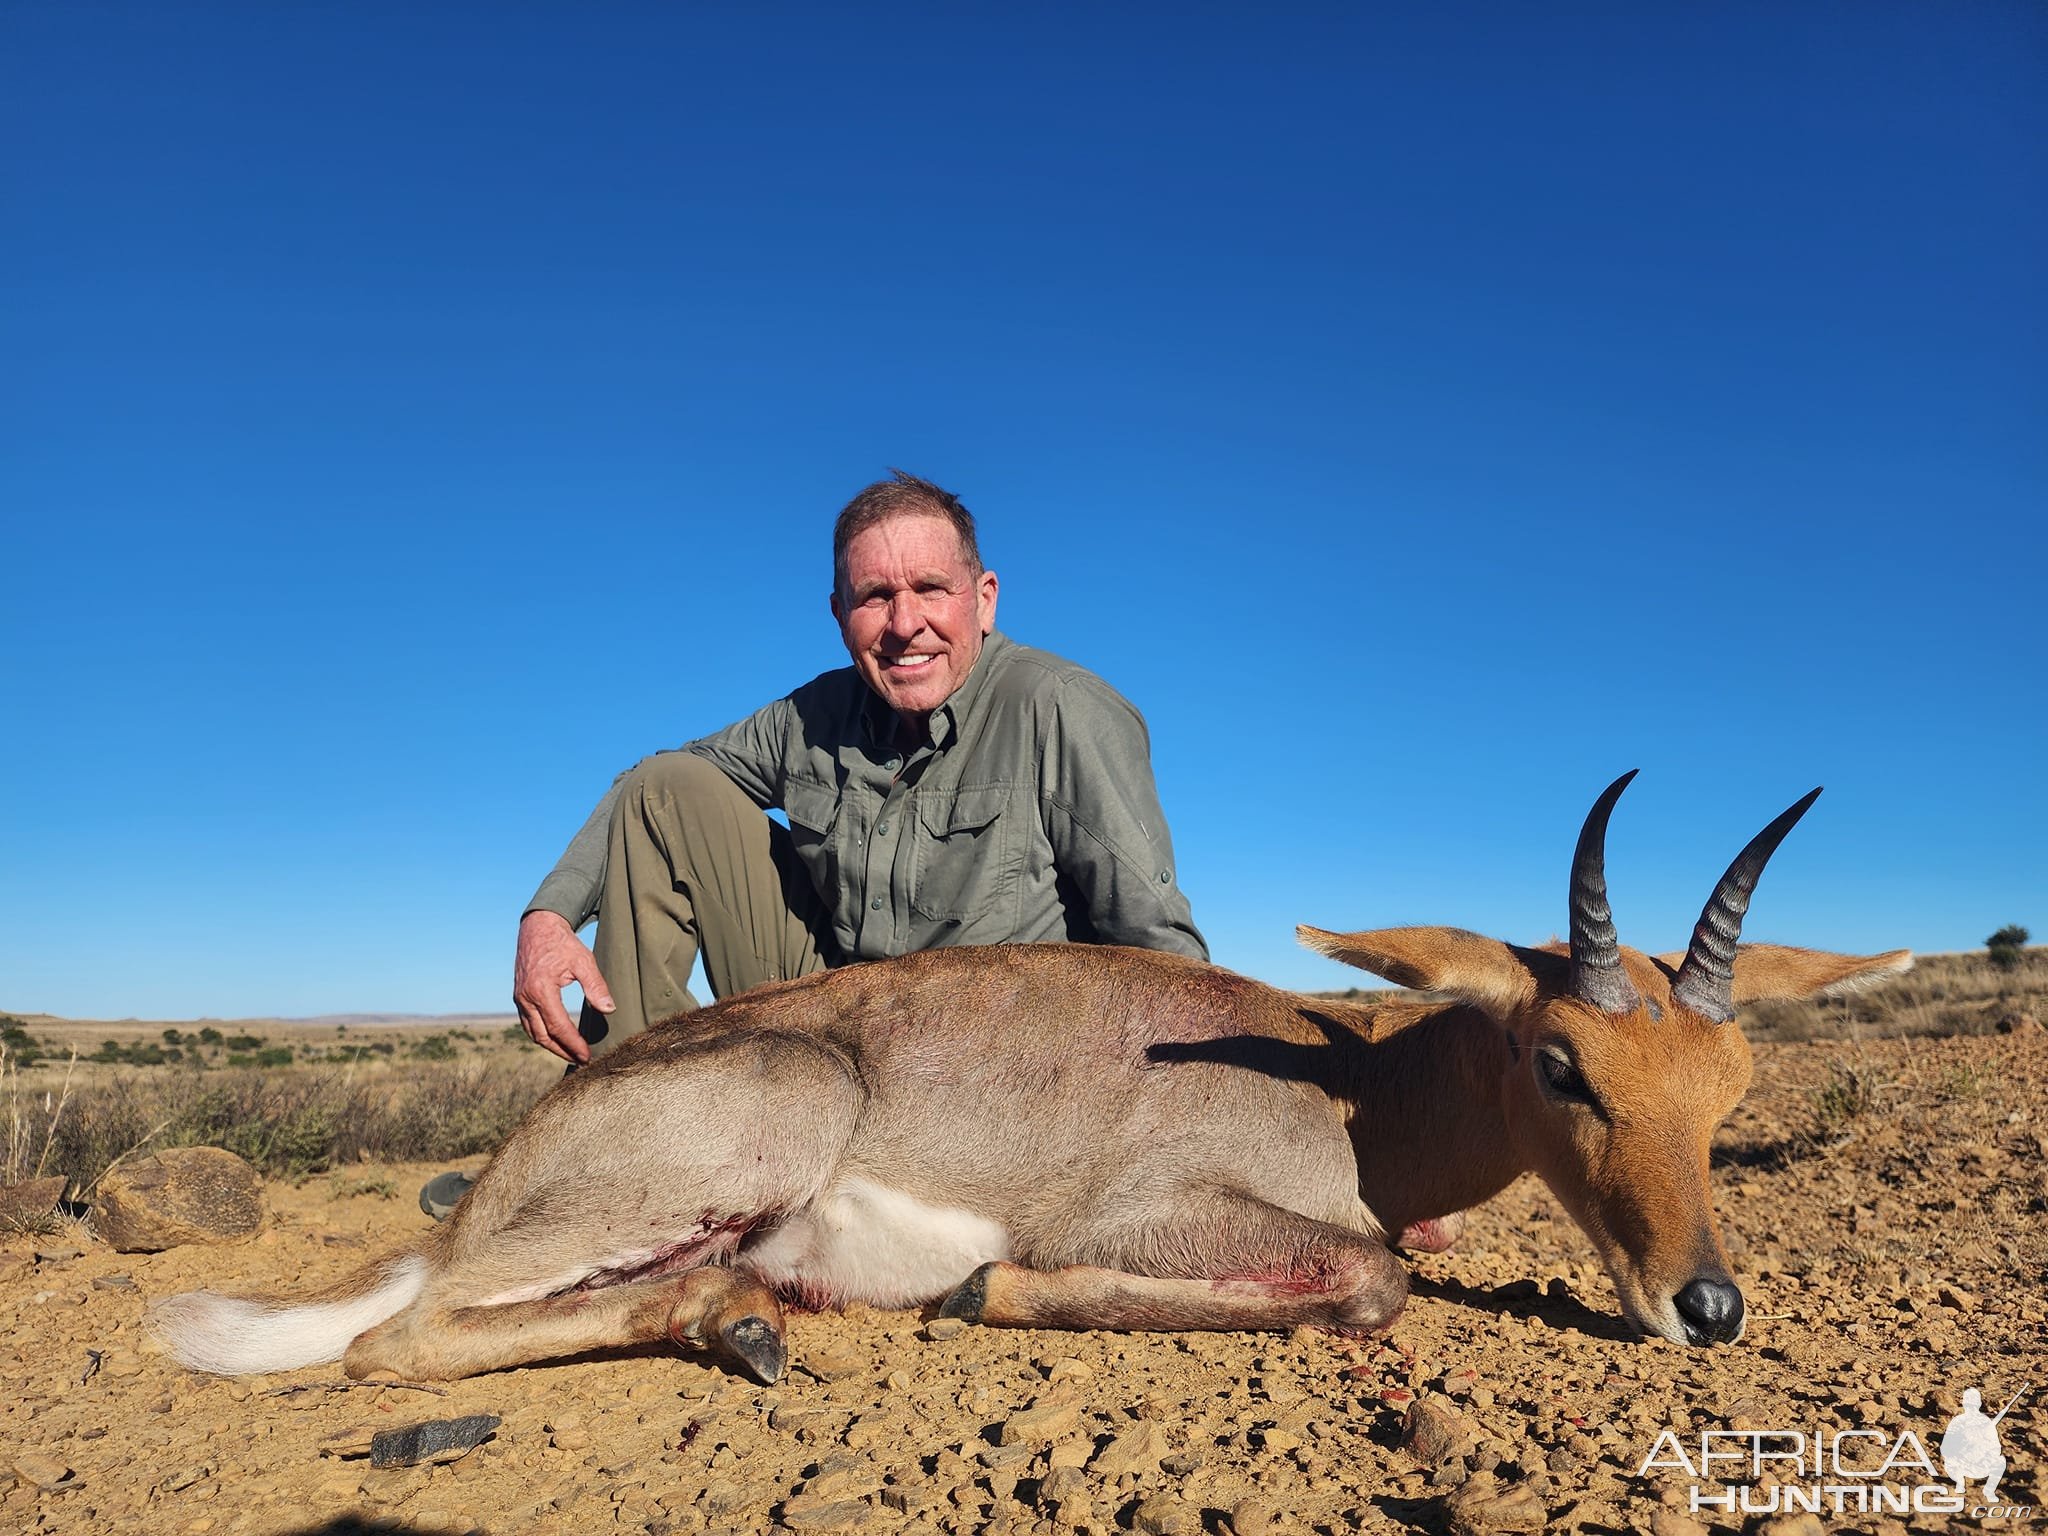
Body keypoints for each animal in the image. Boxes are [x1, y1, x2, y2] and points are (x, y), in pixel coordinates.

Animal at [155, 774, 1900, 1392]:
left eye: (1731, 1084)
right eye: (1563, 1062)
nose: (1705, 1306)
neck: (1359, 1098)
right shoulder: (1154, 1214)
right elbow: (1370, 1278)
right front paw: (989, 1290)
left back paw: (740, 1314)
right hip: (753, 1131)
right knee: (395, 1342)